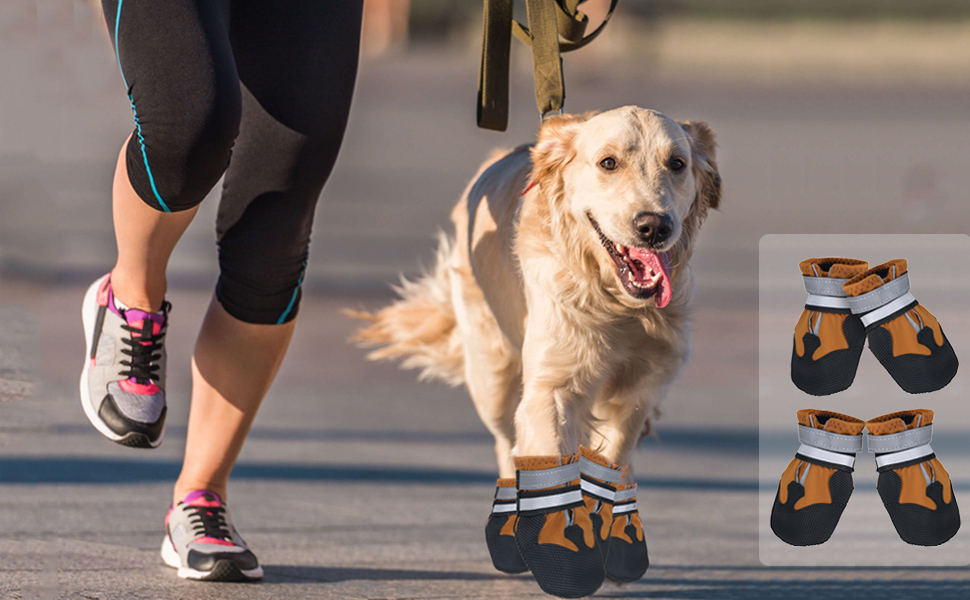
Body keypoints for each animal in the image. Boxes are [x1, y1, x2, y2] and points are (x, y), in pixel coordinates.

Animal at [348, 108, 720, 480]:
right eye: (608, 163)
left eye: (676, 164)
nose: (655, 226)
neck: (617, 304)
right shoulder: (552, 387)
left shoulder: (638, 392)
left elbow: (610, 460)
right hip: (493, 380)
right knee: (505, 441)